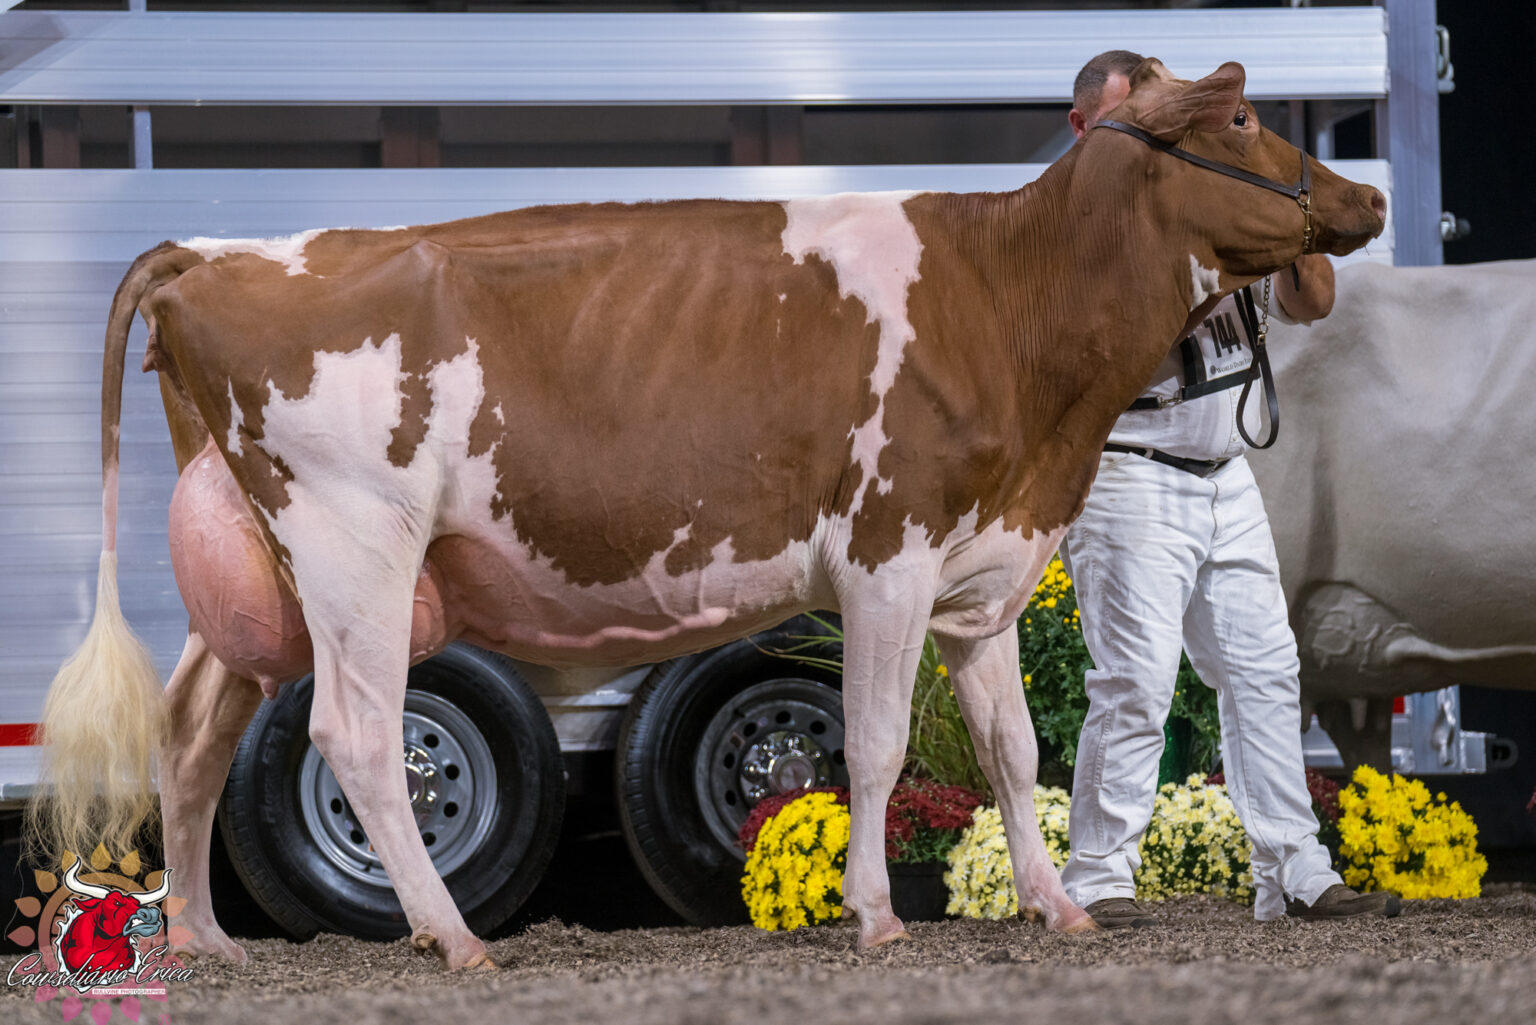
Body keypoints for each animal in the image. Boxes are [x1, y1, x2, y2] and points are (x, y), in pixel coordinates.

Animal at [31, 59, 1383, 971]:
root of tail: (219, 253)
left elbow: (1011, 751)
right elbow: (878, 743)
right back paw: (453, 935)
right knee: (356, 738)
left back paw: (204, 937)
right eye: (1243, 116)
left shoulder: (982, 575)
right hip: (354, 547)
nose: (1363, 200)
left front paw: (1054, 906)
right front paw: (875, 912)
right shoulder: (887, 553)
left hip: (260, 572)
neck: (1012, 305)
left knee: (192, 731)